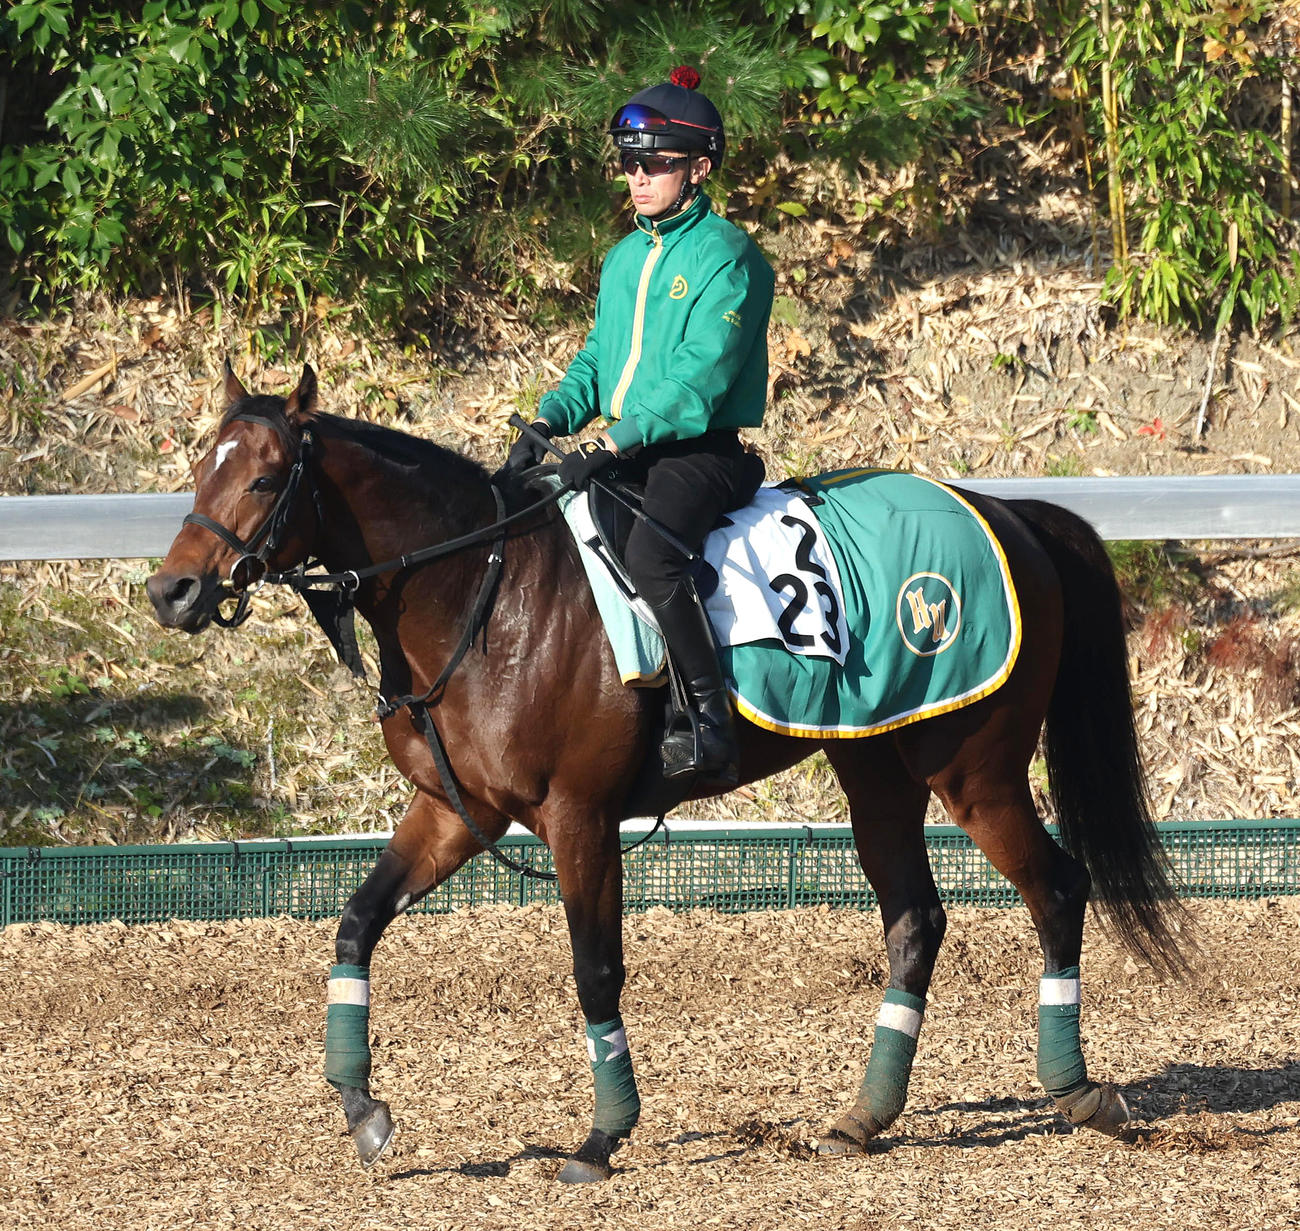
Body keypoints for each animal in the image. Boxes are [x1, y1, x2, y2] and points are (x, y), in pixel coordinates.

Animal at [146, 363, 1185, 1183]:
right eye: (200, 467)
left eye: (266, 477)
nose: (172, 591)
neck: (486, 591)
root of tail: (1008, 512)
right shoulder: (453, 809)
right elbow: (357, 922)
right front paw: (362, 1108)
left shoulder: (579, 817)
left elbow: (595, 968)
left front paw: (602, 1137)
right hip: (877, 771)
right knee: (916, 922)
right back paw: (864, 1118)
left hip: (974, 771)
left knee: (1056, 889)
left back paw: (1076, 1089)